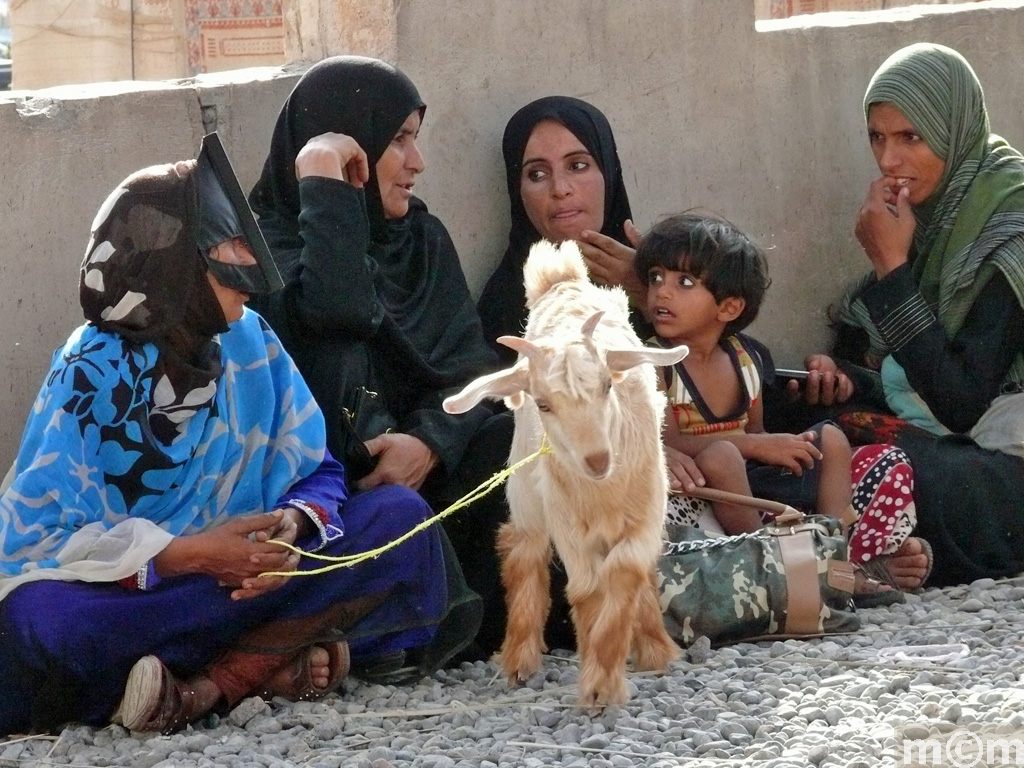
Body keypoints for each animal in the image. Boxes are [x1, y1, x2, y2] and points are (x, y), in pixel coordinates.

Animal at [442, 240, 688, 708]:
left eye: (608, 386)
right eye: (543, 403)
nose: (596, 460)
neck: (602, 490)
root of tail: (562, 279)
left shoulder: (646, 512)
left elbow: (627, 571)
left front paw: (613, 670)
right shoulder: (568, 523)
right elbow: (587, 590)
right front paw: (598, 681)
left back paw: (654, 647)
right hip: (526, 487)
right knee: (523, 550)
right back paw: (519, 659)